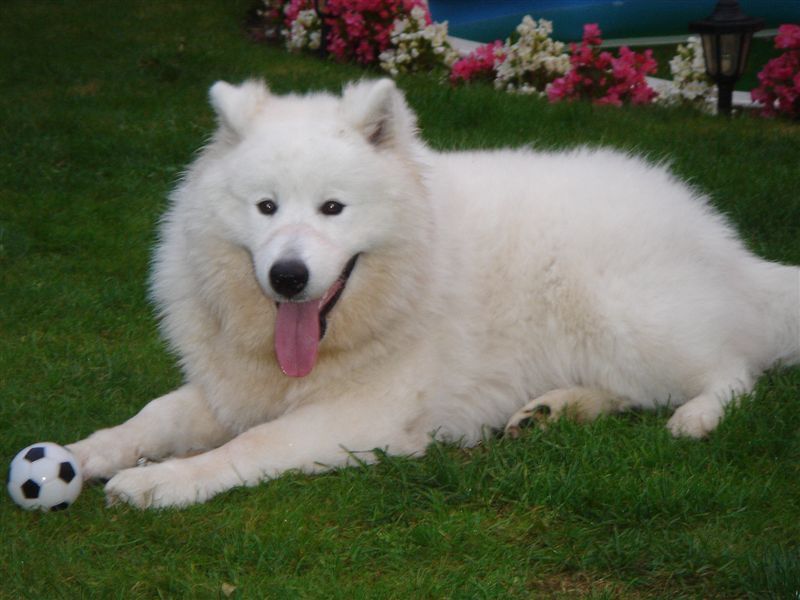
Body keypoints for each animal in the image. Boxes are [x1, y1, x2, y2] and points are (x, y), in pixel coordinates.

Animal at [69, 76, 800, 506]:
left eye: (333, 208)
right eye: (266, 207)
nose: (288, 276)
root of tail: (725, 242)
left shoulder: (358, 419)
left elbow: (248, 447)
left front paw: (160, 480)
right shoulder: (231, 390)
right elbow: (154, 416)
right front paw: (82, 454)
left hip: (629, 320)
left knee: (733, 372)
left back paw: (696, 417)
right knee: (633, 392)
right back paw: (552, 411)